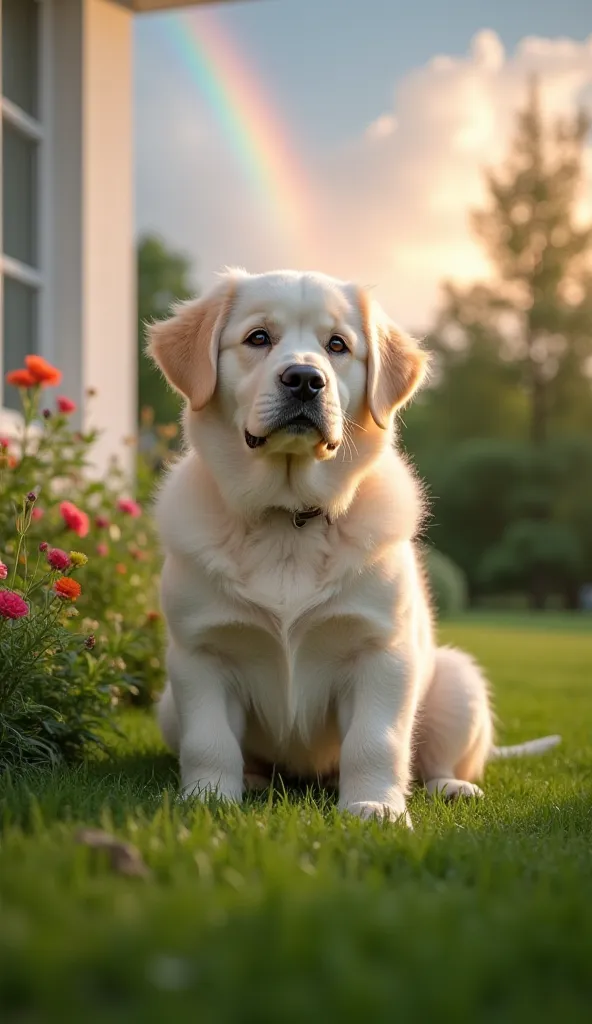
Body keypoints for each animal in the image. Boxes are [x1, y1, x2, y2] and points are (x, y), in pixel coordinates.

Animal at [148, 266, 557, 823]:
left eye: (337, 345)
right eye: (258, 338)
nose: (304, 379)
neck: (288, 518)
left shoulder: (380, 652)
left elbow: (375, 741)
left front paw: (374, 805)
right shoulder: (200, 653)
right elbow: (209, 741)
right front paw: (209, 797)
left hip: (459, 683)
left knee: (435, 760)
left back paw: (452, 786)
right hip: (168, 702)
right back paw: (253, 779)